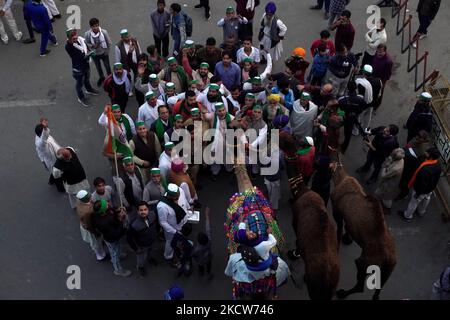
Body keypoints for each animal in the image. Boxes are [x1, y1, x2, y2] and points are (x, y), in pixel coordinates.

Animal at [280, 132, 340, 300]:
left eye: (283, 139)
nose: (276, 131)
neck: (302, 190)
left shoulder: (296, 223)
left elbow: (298, 244)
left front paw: (293, 254)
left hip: (315, 286)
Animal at [328, 151, 396, 300]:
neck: (339, 179)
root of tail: (389, 261)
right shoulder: (349, 220)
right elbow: (348, 229)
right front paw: (347, 238)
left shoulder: (337, 211)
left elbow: (339, 230)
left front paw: (339, 243)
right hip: (387, 273)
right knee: (377, 292)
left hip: (364, 263)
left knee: (360, 286)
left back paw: (342, 293)